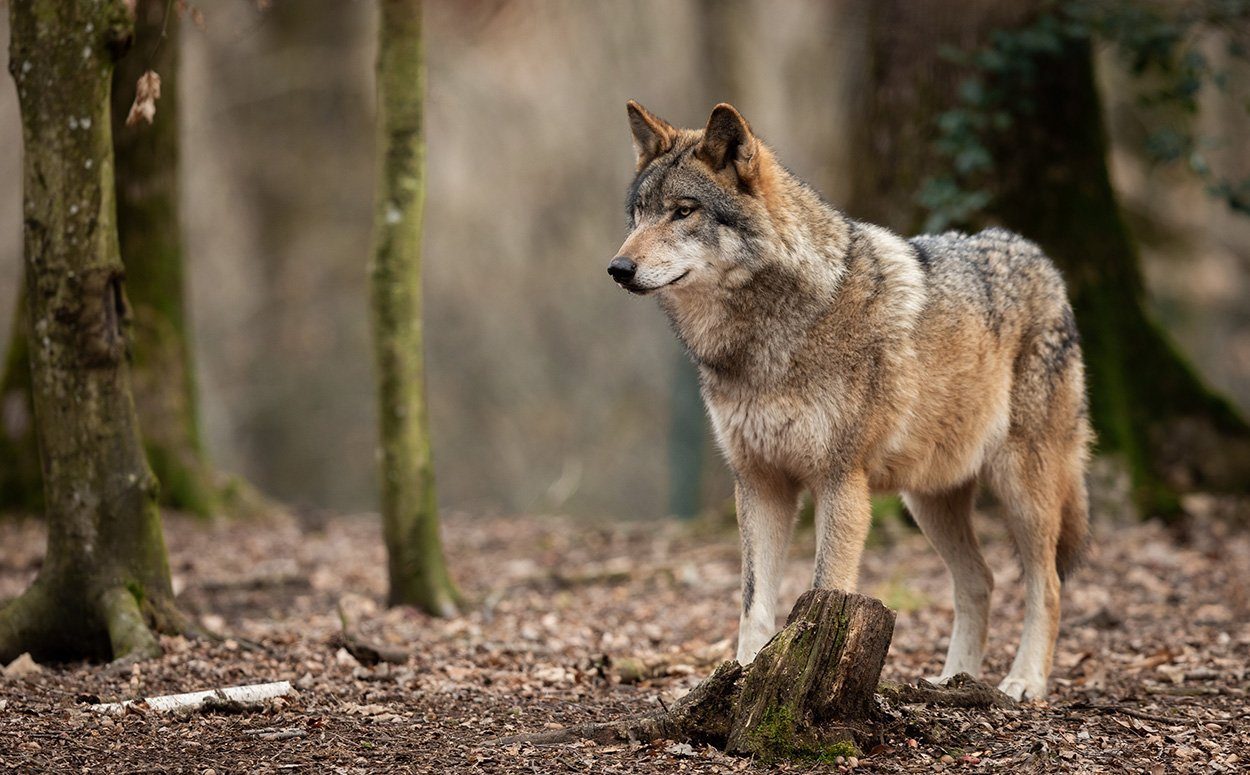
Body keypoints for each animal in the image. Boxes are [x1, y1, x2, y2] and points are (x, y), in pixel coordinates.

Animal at [609, 101, 1091, 701]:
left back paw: (1024, 682)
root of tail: (1040, 258)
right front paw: (742, 680)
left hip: (1022, 489)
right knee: (980, 580)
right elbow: (753, 604)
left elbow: (823, 591)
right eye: (638, 215)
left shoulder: (840, 482)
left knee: (1047, 585)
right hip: (928, 500)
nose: (618, 269)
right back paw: (952, 681)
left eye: (682, 212)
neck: (767, 338)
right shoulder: (759, 482)